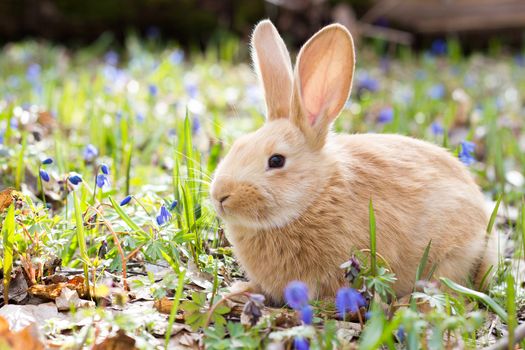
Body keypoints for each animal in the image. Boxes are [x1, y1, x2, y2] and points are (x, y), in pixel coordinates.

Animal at [208, 19, 496, 304]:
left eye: (277, 160)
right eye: (238, 145)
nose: (220, 195)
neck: (317, 195)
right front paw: (239, 291)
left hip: (451, 255)